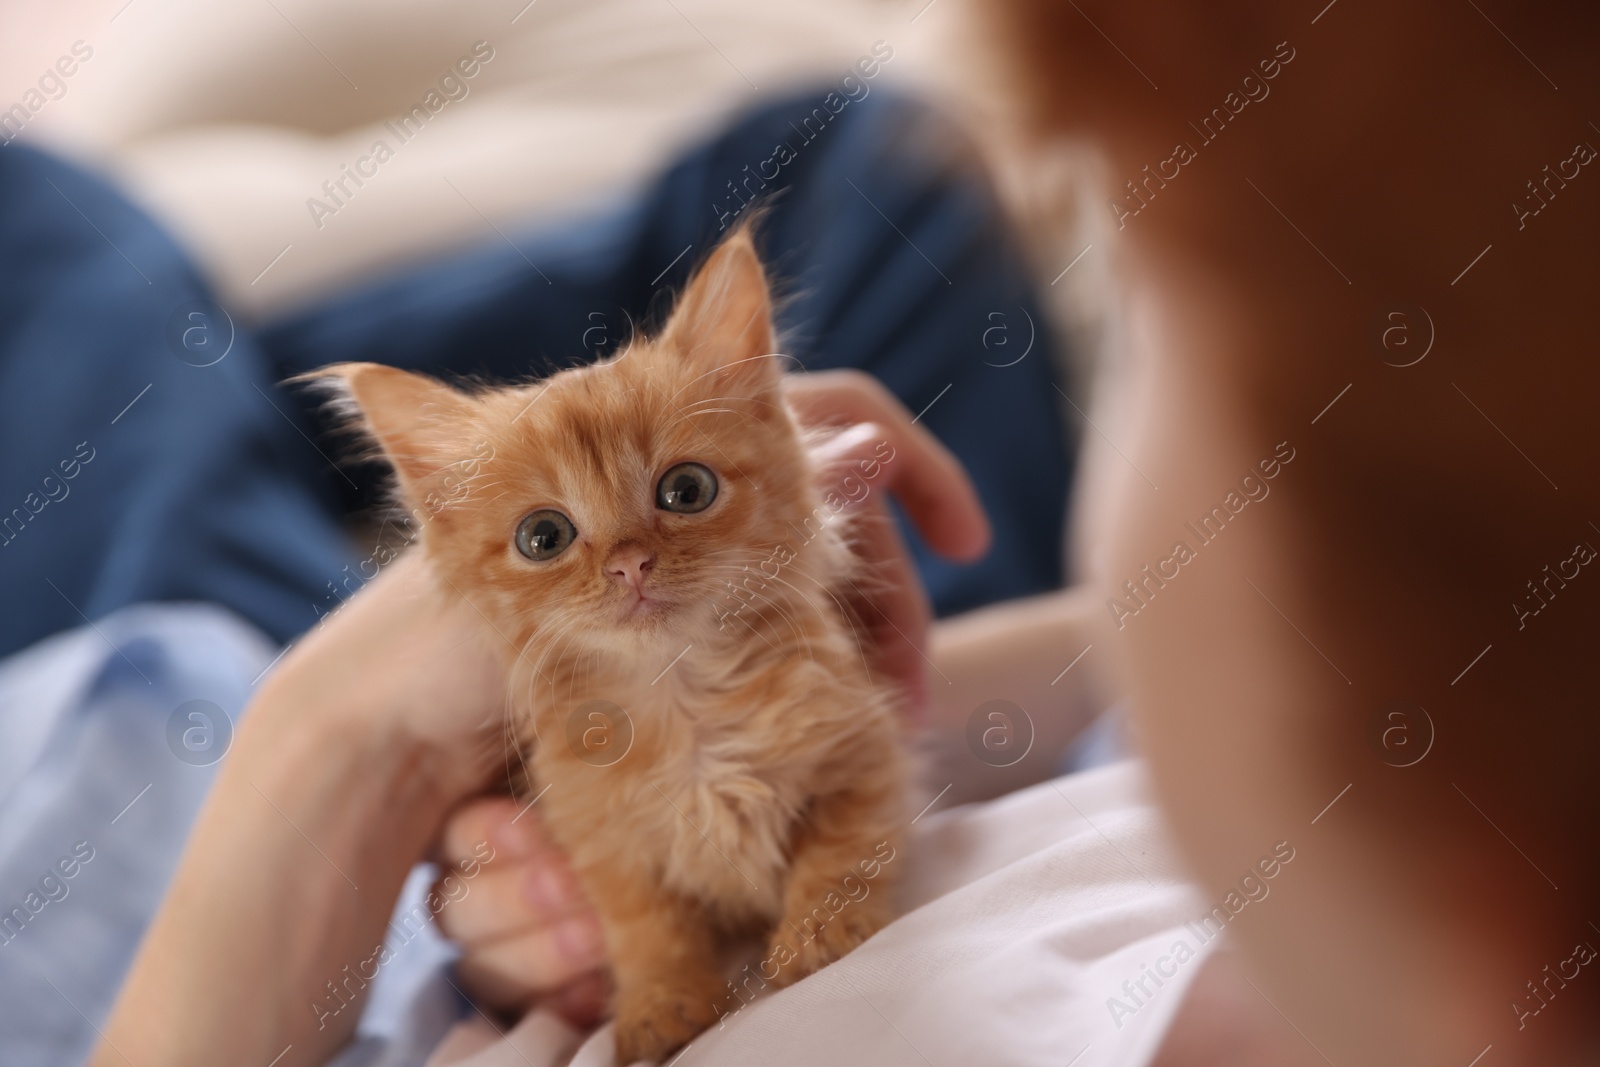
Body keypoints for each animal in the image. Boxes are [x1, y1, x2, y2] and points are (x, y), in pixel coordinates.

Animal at [313, 231, 915, 1062]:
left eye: (686, 490)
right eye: (544, 536)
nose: (630, 563)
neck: (684, 702)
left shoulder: (859, 747)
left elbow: (843, 847)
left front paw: (821, 928)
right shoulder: (599, 842)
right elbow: (647, 928)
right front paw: (663, 1003)